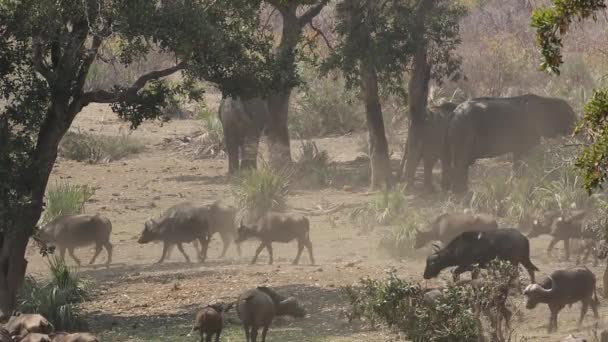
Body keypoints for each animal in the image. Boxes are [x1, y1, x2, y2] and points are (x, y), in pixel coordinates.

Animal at [444, 94, 576, 192]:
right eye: (569, 116)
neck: (545, 100)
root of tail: (454, 113)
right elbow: (521, 157)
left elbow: (518, 158)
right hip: (463, 133)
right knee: (461, 164)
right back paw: (461, 193)